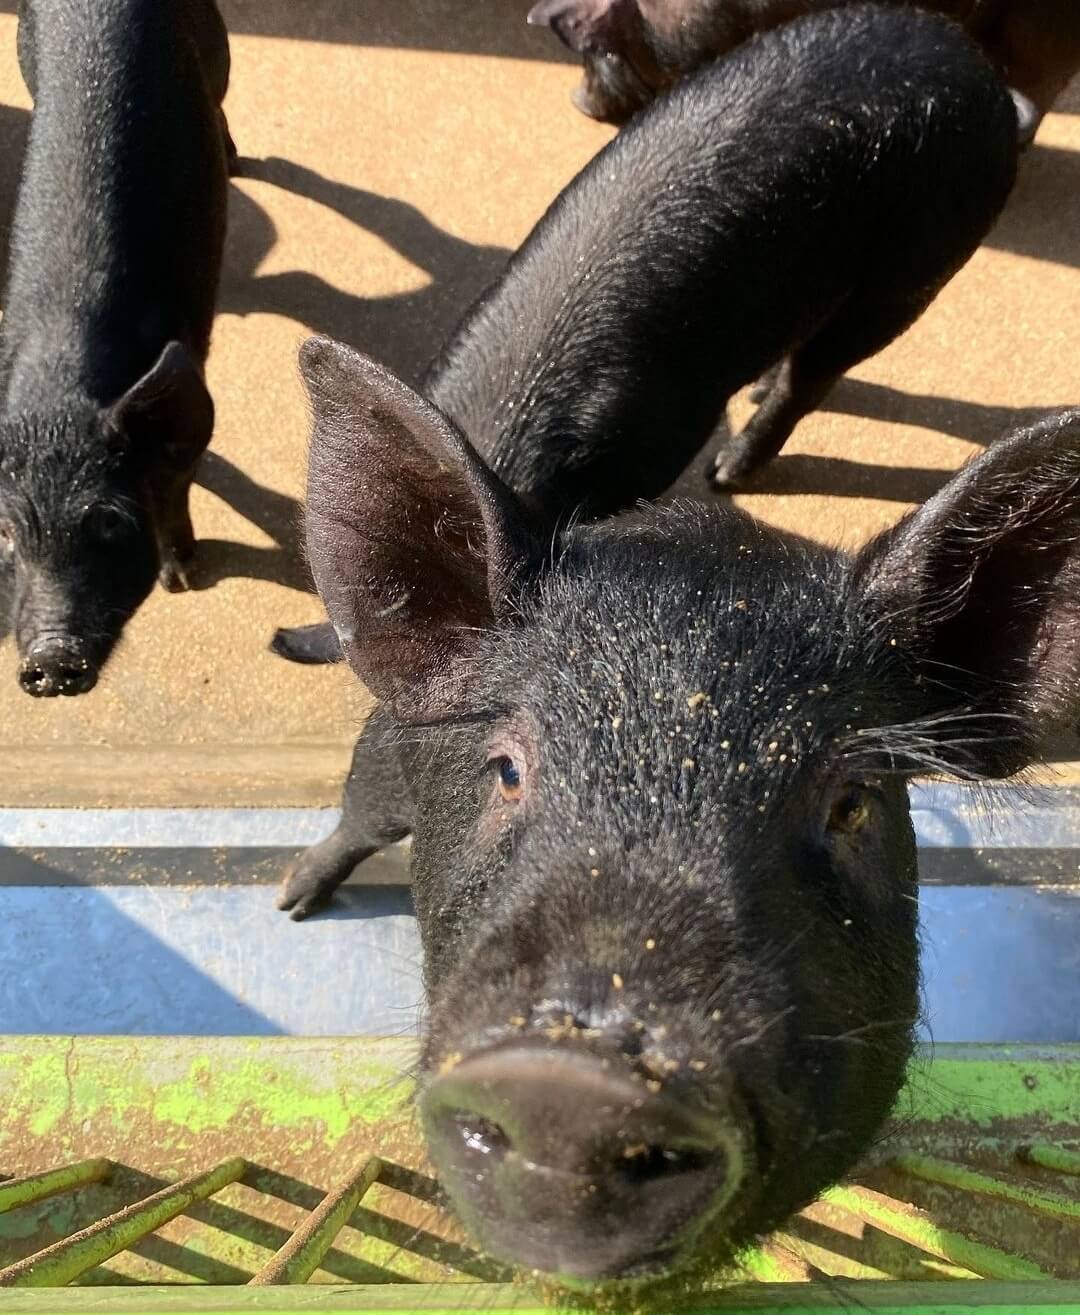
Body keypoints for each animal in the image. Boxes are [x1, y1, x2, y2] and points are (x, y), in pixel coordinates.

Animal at [0, 0, 232, 696]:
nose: (51, 660)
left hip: (217, 43)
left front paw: (183, 578)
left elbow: (179, 486)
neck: (57, 392)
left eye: (106, 521)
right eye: (4, 533)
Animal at [290, 335, 1080, 1281]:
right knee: (352, 818)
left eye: (852, 801)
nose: (571, 1083)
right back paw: (294, 899)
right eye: (508, 769)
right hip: (378, 766)